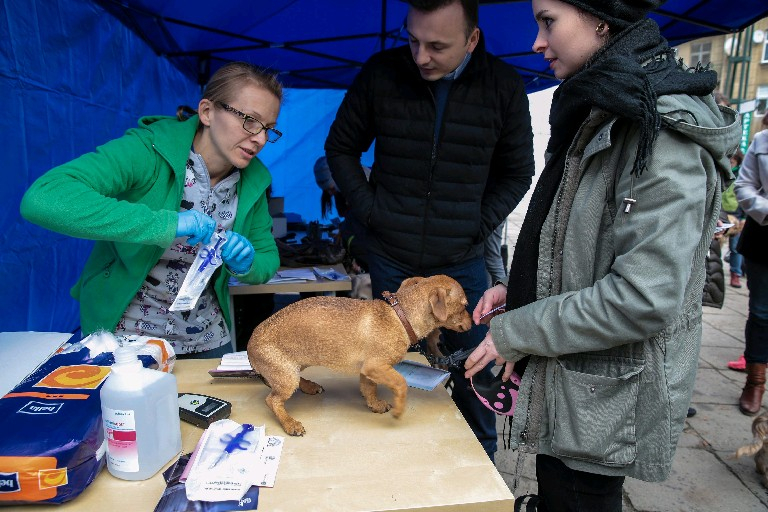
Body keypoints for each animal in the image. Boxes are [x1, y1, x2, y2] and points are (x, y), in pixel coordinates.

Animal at [249, 276, 472, 436]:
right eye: (464, 305)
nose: (473, 323)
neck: (400, 317)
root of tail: (250, 347)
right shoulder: (376, 367)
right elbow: (400, 383)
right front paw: (399, 409)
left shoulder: (367, 370)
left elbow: (369, 389)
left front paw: (375, 405)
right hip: (287, 377)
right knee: (273, 400)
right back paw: (290, 424)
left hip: (296, 366)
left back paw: (309, 386)